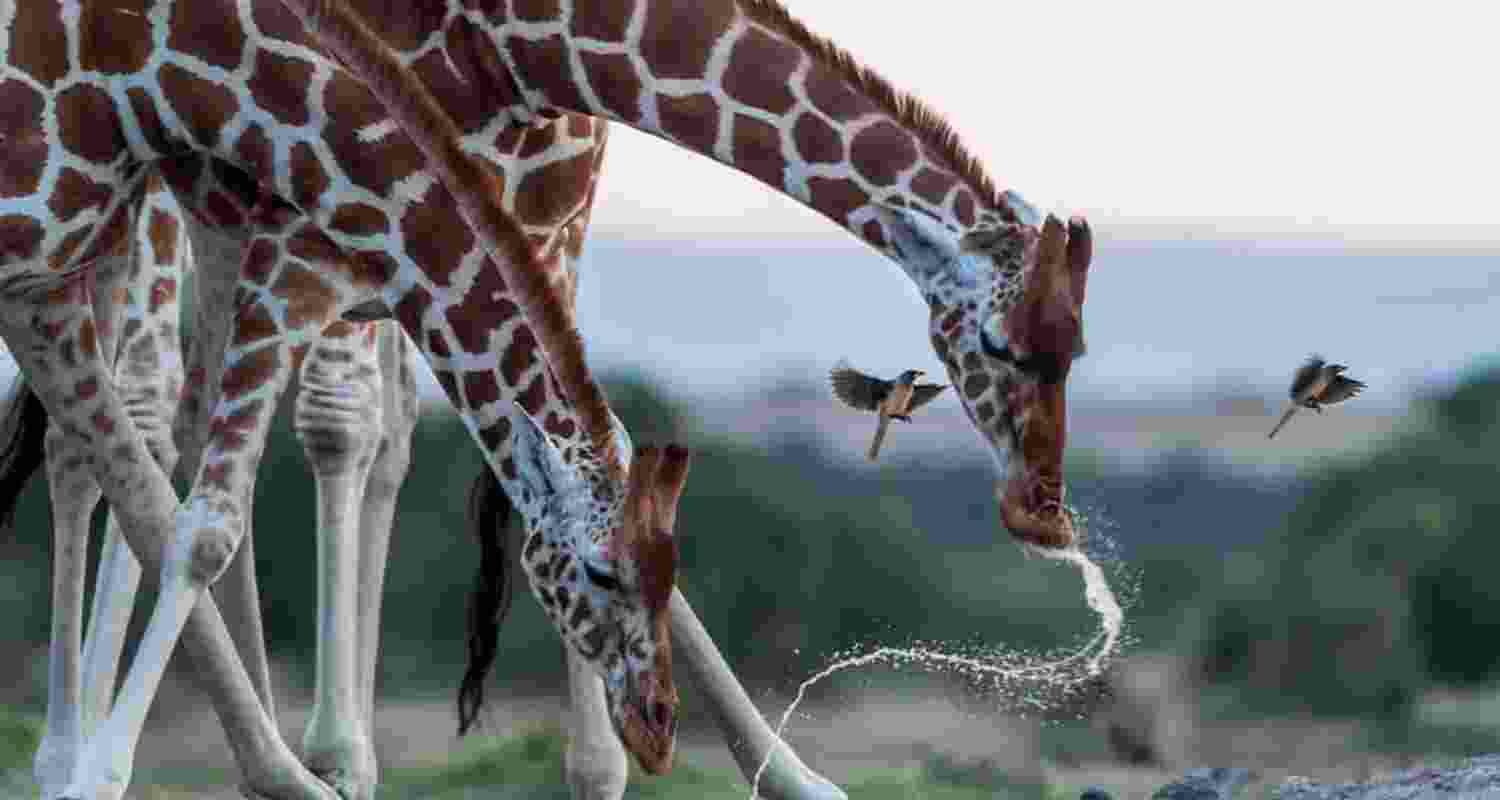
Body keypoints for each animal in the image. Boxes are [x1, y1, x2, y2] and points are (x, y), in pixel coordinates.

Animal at [0, 0, 1092, 796]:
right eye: (1000, 346)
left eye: (1076, 348)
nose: (1044, 508)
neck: (530, 42)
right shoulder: (330, 235)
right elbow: (260, 477)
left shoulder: (526, 231)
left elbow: (580, 444)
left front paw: (764, 775)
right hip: (156, 217)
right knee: (135, 421)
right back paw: (94, 755)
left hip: (213, 223)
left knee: (197, 428)